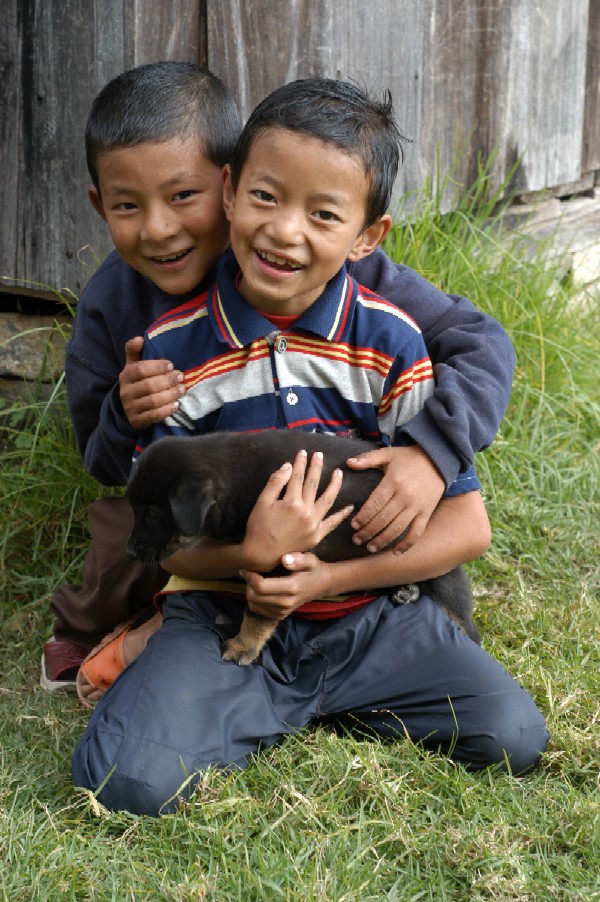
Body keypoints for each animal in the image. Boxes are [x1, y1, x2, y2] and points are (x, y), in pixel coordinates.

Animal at [127, 430, 482, 664]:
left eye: (152, 515)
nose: (130, 552)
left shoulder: (280, 560)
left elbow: (257, 612)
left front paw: (243, 646)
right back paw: (405, 591)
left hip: (440, 574)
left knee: (461, 615)